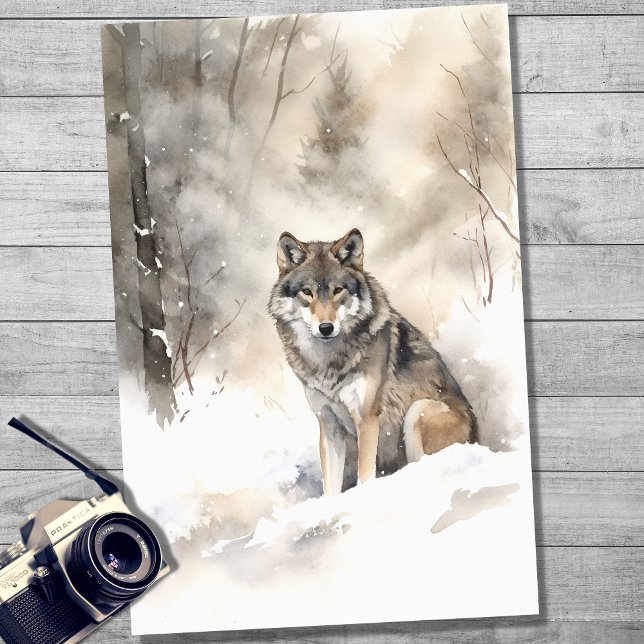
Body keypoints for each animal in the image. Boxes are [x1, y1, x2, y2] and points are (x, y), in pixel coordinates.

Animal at [268, 228, 478, 495]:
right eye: (307, 292)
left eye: (338, 290)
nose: (326, 328)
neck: (328, 361)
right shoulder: (329, 424)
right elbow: (330, 487)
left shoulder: (367, 420)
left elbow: (364, 477)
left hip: (417, 412)